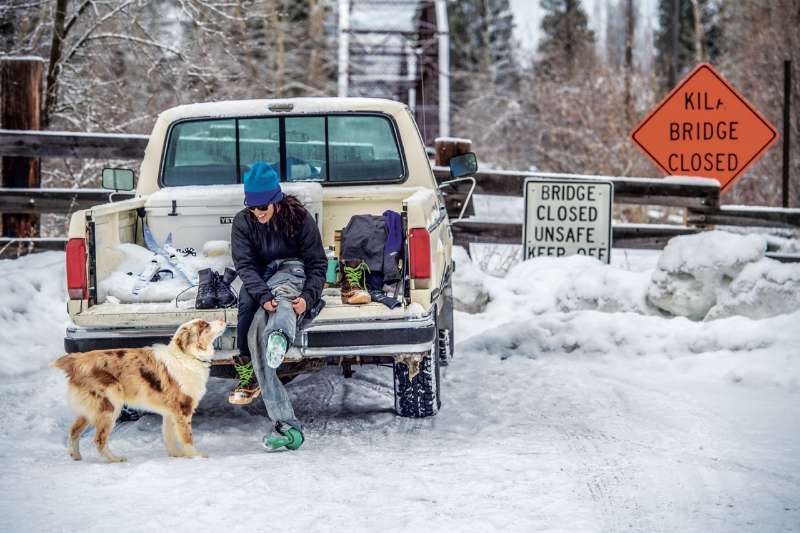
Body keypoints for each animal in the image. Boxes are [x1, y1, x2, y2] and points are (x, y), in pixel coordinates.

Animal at [50, 320, 225, 462]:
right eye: (205, 325)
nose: (223, 320)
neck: (187, 356)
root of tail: (78, 360)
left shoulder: (170, 412)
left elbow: (168, 436)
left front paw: (175, 454)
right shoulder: (183, 409)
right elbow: (187, 437)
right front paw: (195, 456)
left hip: (91, 410)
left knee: (73, 430)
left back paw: (75, 455)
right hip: (110, 406)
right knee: (99, 439)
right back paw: (115, 459)